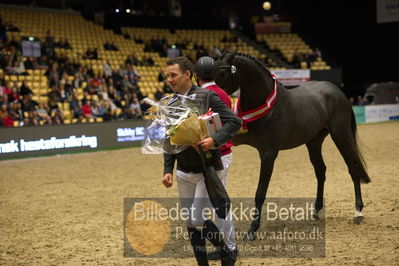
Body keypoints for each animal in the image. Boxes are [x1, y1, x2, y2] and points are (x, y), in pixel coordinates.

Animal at [214, 52, 374, 241]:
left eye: (222, 73)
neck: (266, 105)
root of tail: (339, 92)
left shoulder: (268, 154)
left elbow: (260, 192)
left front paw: (252, 230)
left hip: (341, 136)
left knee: (352, 170)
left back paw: (358, 211)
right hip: (313, 143)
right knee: (321, 171)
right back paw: (316, 210)